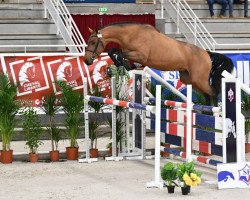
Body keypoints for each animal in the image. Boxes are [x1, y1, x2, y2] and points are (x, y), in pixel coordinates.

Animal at [84, 22, 234, 104]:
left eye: (93, 42)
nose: (86, 60)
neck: (132, 35)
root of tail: (207, 54)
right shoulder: (128, 51)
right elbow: (113, 51)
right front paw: (125, 65)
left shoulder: (141, 55)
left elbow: (120, 54)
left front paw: (127, 65)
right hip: (189, 79)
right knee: (207, 94)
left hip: (199, 79)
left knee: (213, 93)